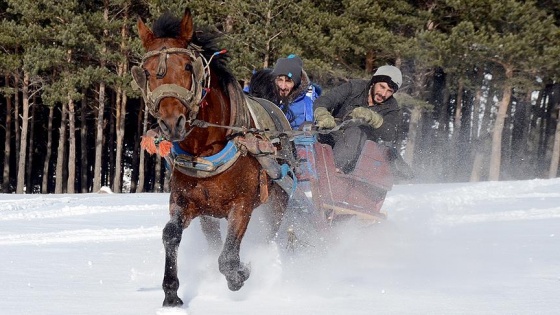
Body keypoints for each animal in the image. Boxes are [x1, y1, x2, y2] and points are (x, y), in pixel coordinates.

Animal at [133, 8, 290, 308]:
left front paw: (239, 274)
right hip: (208, 217)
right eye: (145, 72)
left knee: (268, 234)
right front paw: (171, 294)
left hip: (277, 201)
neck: (203, 150)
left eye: (187, 66)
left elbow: (228, 257)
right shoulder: (185, 202)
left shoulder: (243, 204)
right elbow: (171, 235)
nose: (171, 123)